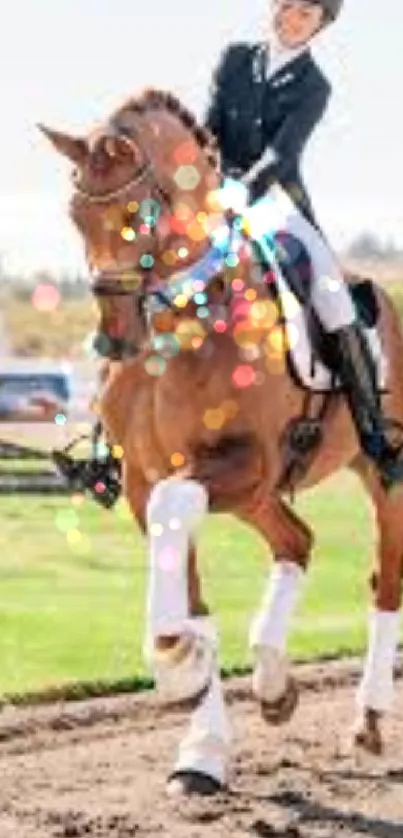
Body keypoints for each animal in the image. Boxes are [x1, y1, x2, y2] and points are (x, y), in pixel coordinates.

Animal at [40, 92, 403, 800]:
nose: (113, 340)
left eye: (136, 216)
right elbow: (188, 585)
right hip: (259, 497)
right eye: (74, 213)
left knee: (386, 580)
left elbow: (175, 523)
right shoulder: (150, 477)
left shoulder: (245, 465)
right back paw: (272, 679)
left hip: (378, 474)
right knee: (297, 542)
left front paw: (178, 660)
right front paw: (201, 743)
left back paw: (367, 721)